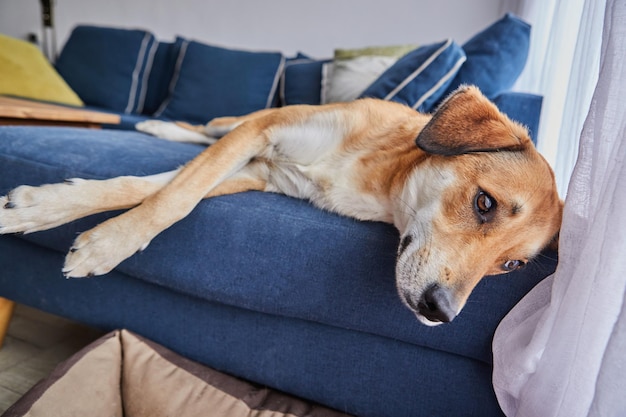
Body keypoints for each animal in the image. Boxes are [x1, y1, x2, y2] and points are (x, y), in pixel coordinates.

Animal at [0, 84, 560, 324]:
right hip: (241, 123)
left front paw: (45, 206)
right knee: (206, 128)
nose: (441, 313)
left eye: (511, 266)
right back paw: (158, 126)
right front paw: (103, 243)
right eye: (484, 203)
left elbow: (158, 190)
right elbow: (173, 196)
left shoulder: (256, 172)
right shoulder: (262, 133)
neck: (380, 176)